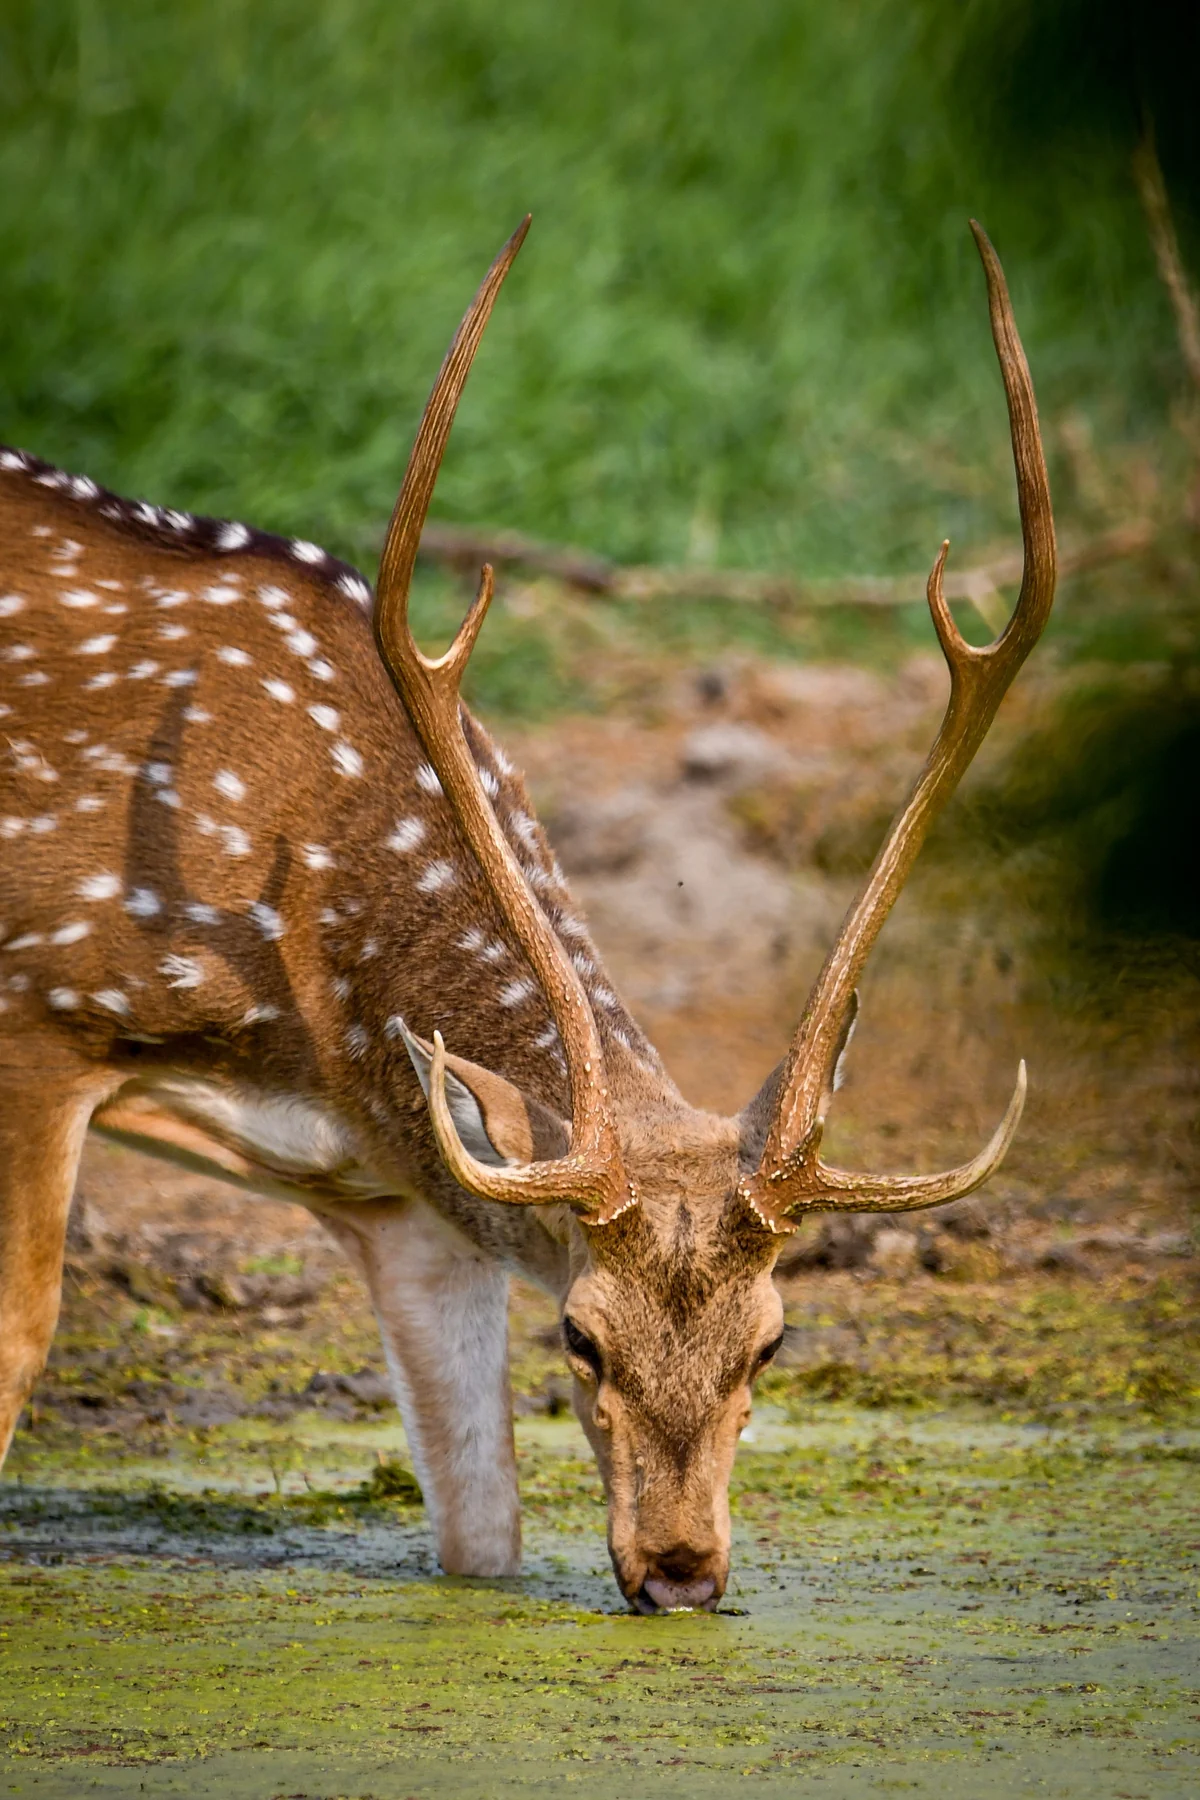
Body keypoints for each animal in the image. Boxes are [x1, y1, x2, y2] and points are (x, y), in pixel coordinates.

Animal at [0, 217, 1054, 1613]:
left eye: (773, 1344)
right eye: (580, 1335)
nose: (681, 1569)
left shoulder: (404, 1192)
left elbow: (479, 1518)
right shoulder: (40, 1010)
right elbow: (19, 1348)